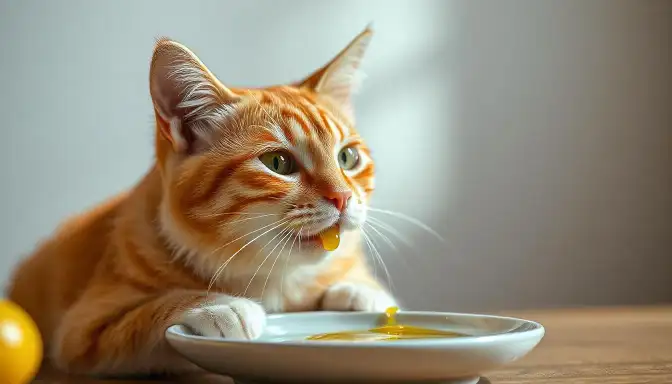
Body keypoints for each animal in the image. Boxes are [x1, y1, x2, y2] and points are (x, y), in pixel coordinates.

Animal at [5, 26, 396, 376]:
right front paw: (218, 307)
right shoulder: (83, 332)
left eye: (347, 157)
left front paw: (361, 292)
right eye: (278, 163)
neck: (273, 277)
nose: (343, 197)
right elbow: (145, 316)